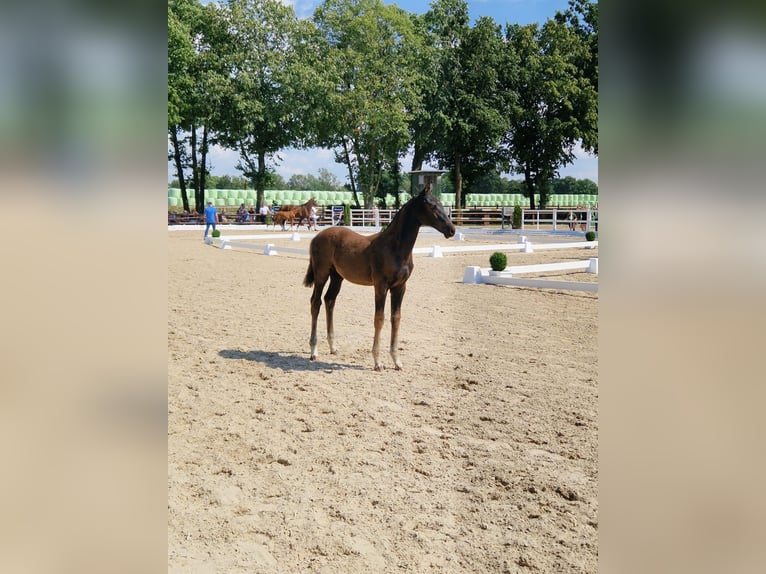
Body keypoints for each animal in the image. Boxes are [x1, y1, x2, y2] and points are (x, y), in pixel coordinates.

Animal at [303, 184, 455, 370]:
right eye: (432, 205)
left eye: (441, 204)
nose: (451, 230)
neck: (395, 248)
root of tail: (316, 237)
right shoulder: (380, 286)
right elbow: (379, 319)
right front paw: (377, 362)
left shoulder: (400, 287)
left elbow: (396, 318)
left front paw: (397, 361)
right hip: (321, 274)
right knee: (315, 303)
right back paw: (314, 351)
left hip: (337, 276)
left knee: (329, 300)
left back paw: (333, 347)